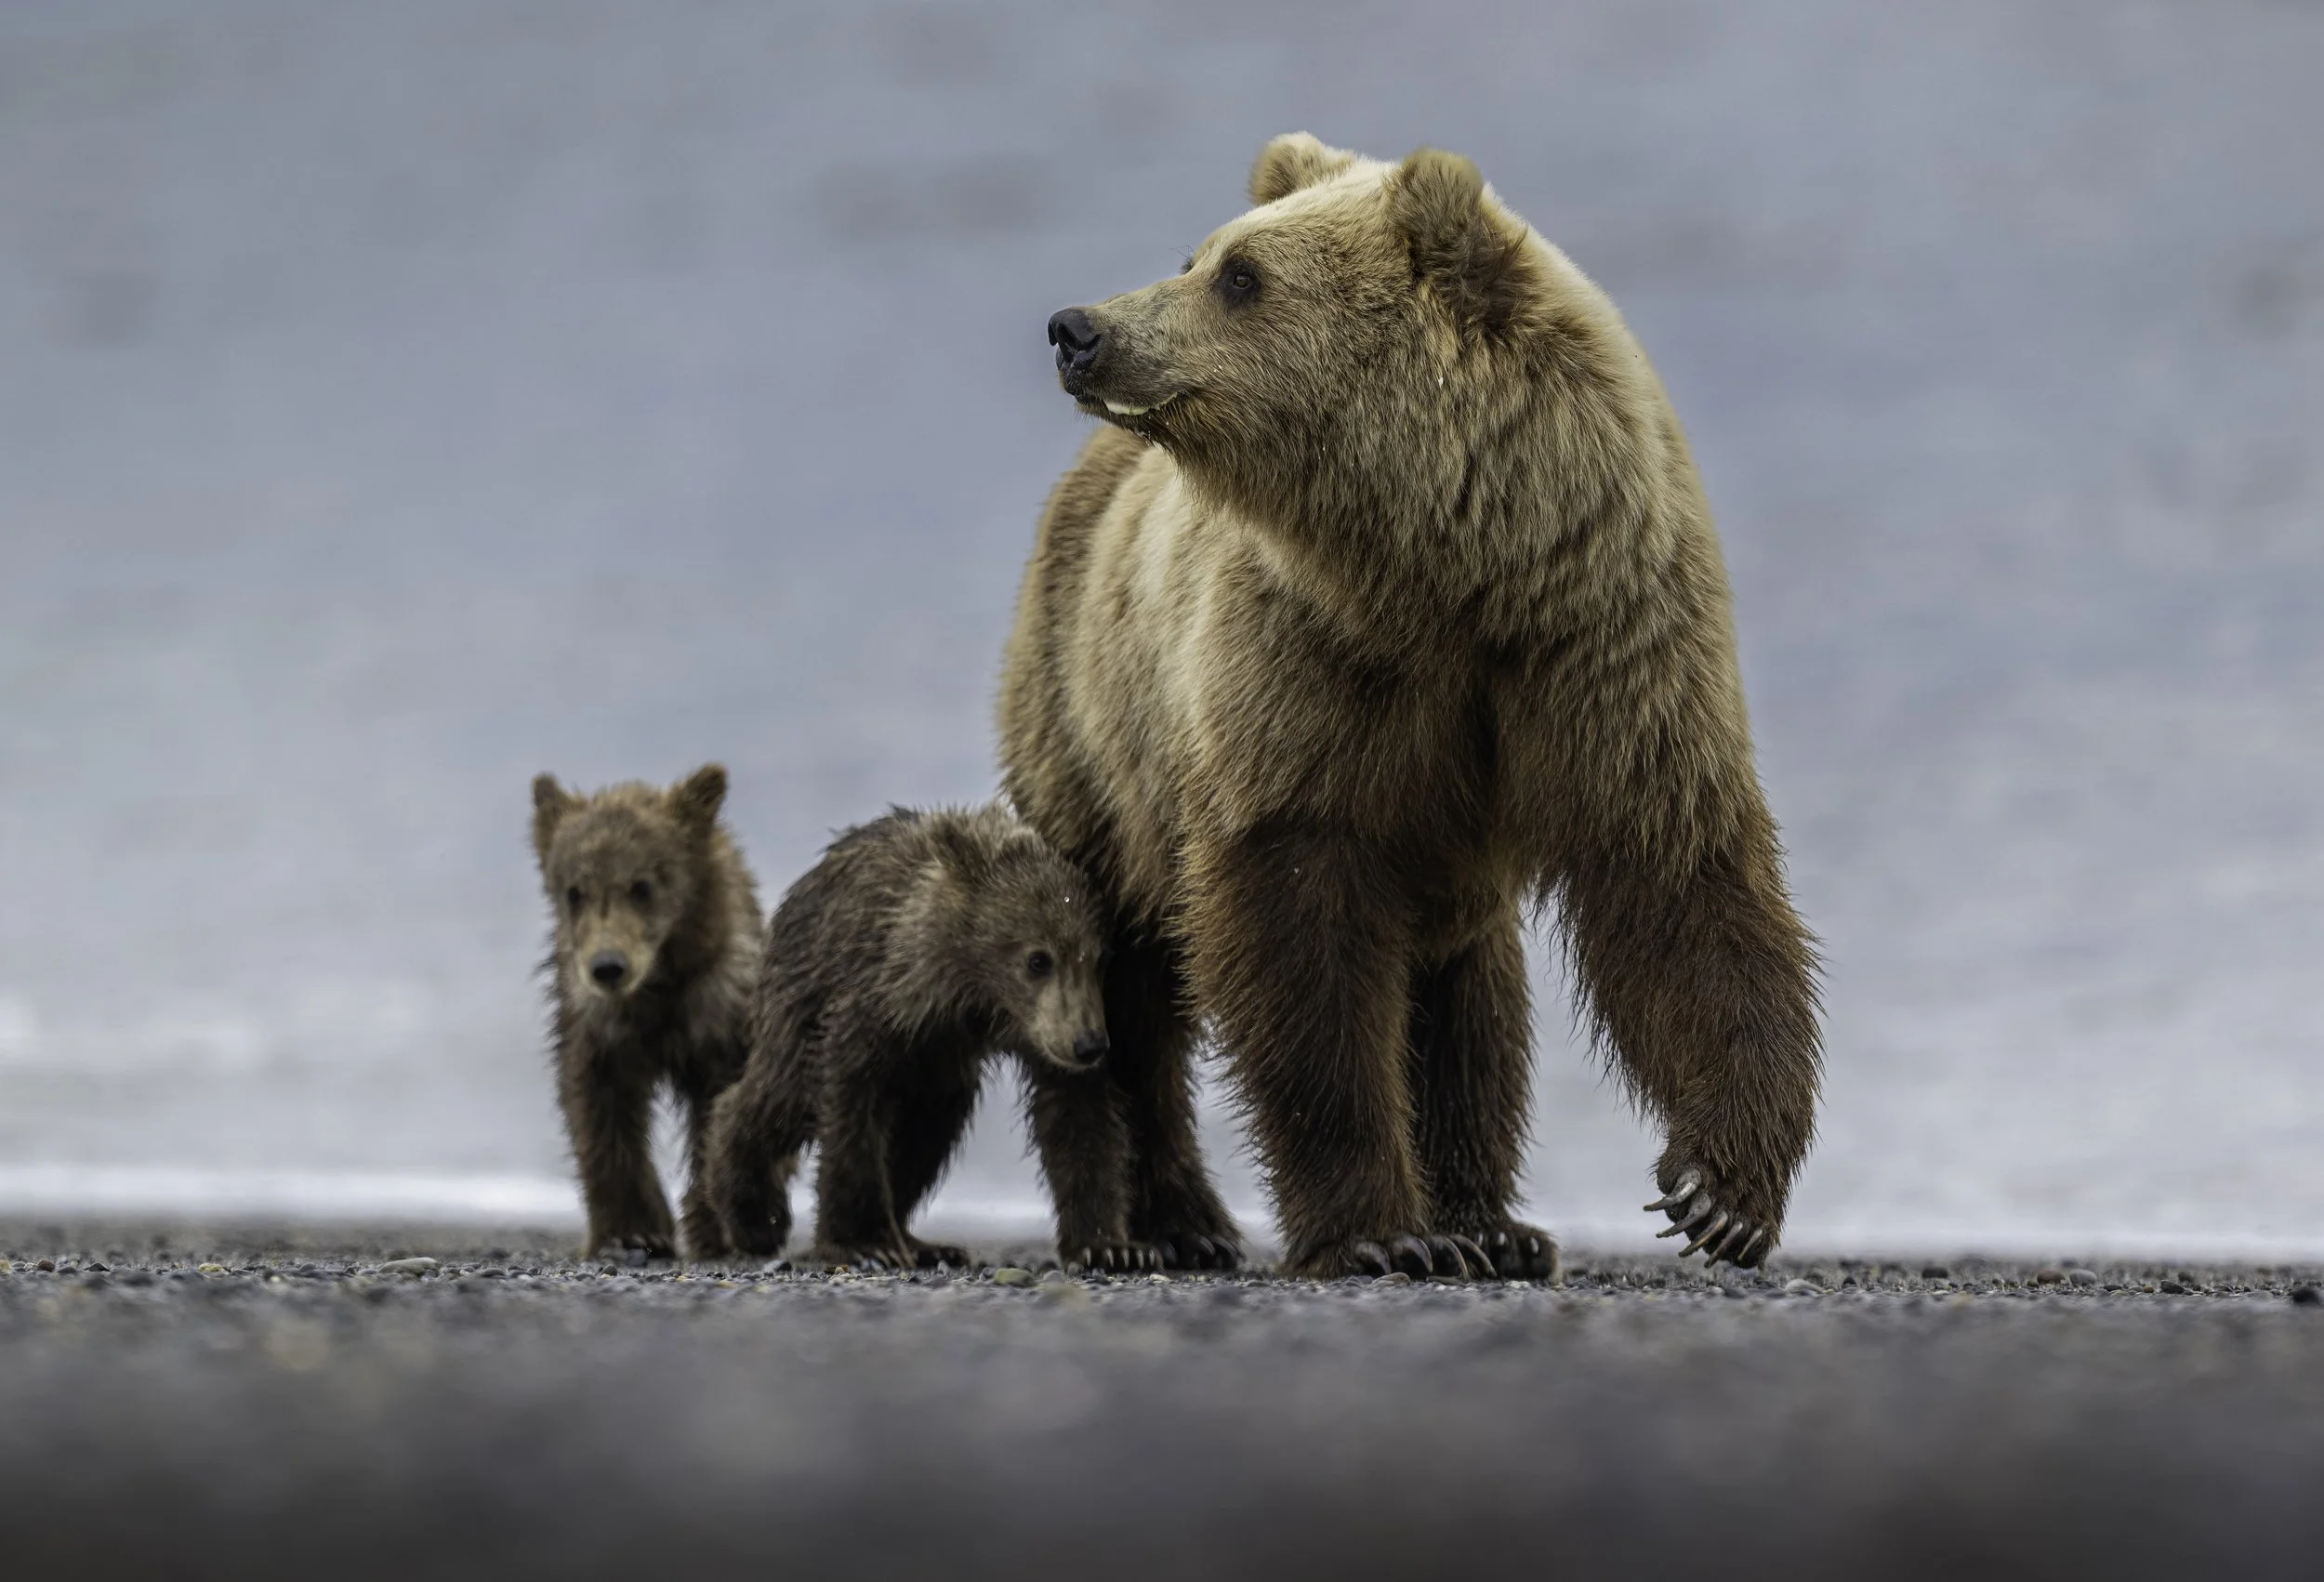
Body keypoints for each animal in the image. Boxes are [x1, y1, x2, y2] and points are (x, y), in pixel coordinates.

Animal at [532, 764, 763, 1262]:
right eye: (574, 891)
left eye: (643, 886)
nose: (608, 966)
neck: (657, 986)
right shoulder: (598, 1027)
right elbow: (601, 1109)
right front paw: (633, 1230)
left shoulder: (720, 1015)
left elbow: (721, 1110)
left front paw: (712, 1225)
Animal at [701, 804, 1173, 1273]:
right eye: (1038, 959)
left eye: (1099, 958)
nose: (1088, 1044)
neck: (978, 994)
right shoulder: (881, 997)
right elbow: (851, 1102)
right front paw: (863, 1242)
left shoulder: (1041, 1031)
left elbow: (1079, 1117)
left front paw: (1112, 1246)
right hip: (801, 994)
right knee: (782, 1092)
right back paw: (750, 1212)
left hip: (934, 1065)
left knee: (931, 1125)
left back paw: (922, 1242)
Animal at [997, 133, 1824, 1280]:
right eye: (1201, 256)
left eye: (1239, 277)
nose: (1079, 328)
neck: (1449, 571)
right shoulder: (1308, 677)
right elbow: (1305, 949)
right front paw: (1381, 1231)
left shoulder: (1601, 643)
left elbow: (1681, 886)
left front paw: (1718, 1193)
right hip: (1093, 727)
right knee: (1109, 967)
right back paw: (1164, 1220)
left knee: (1468, 989)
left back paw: (1490, 1220)